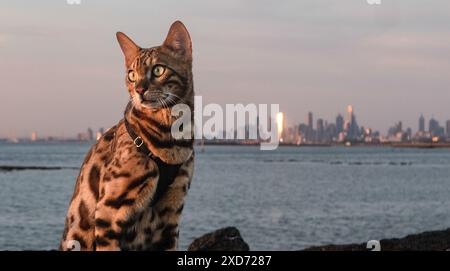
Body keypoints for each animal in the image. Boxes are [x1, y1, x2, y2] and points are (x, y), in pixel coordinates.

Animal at [59, 21, 193, 253]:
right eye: (131, 75)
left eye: (158, 70)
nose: (139, 89)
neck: (170, 141)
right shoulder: (109, 213)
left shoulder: (171, 217)